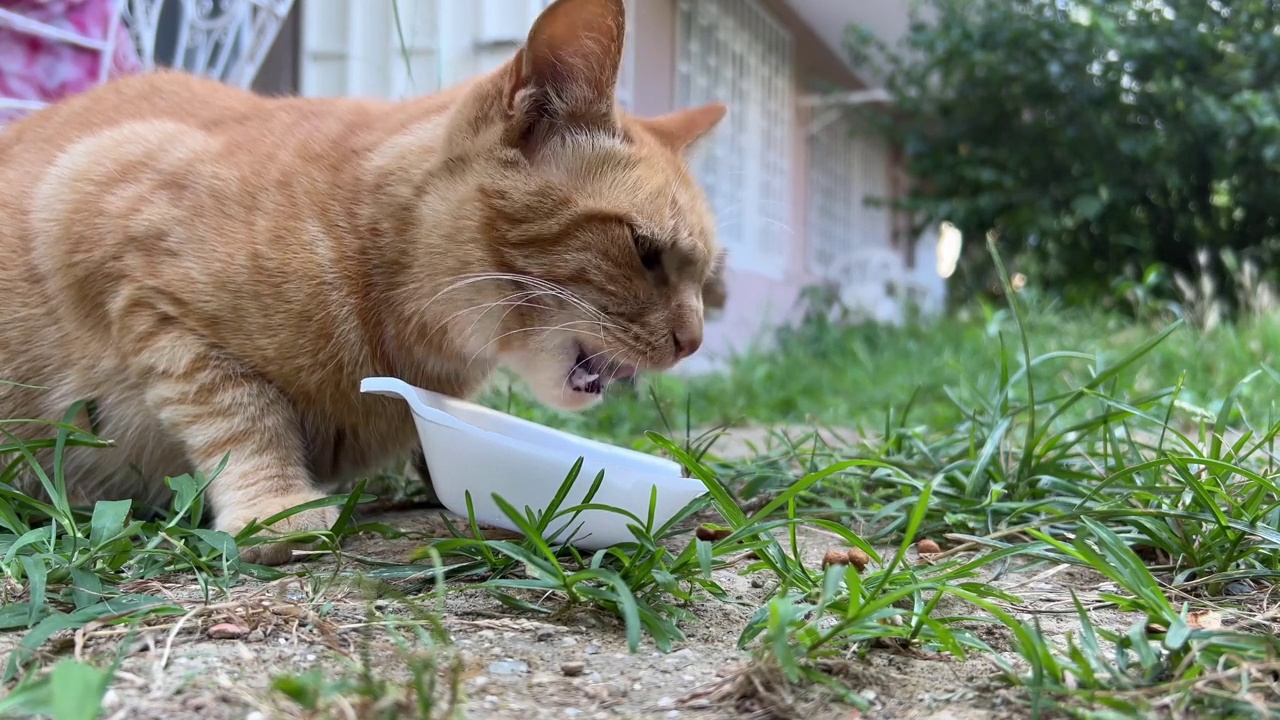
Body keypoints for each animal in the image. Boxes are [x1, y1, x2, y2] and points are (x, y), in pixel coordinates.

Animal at [0, 0, 727, 563]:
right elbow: (239, 409)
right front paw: (276, 505)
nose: (693, 341)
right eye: (645, 251)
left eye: (705, 276)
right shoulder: (107, 219)